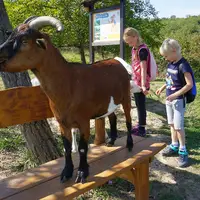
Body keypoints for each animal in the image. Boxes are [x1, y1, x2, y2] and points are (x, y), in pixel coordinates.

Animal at [0, 16, 136, 184]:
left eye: (24, 40)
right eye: (10, 36)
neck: (69, 81)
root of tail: (118, 62)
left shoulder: (84, 121)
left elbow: (83, 148)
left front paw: (82, 173)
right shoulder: (62, 122)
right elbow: (66, 148)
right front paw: (66, 172)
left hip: (126, 97)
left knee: (129, 120)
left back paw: (129, 144)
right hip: (108, 102)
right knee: (113, 116)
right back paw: (111, 141)